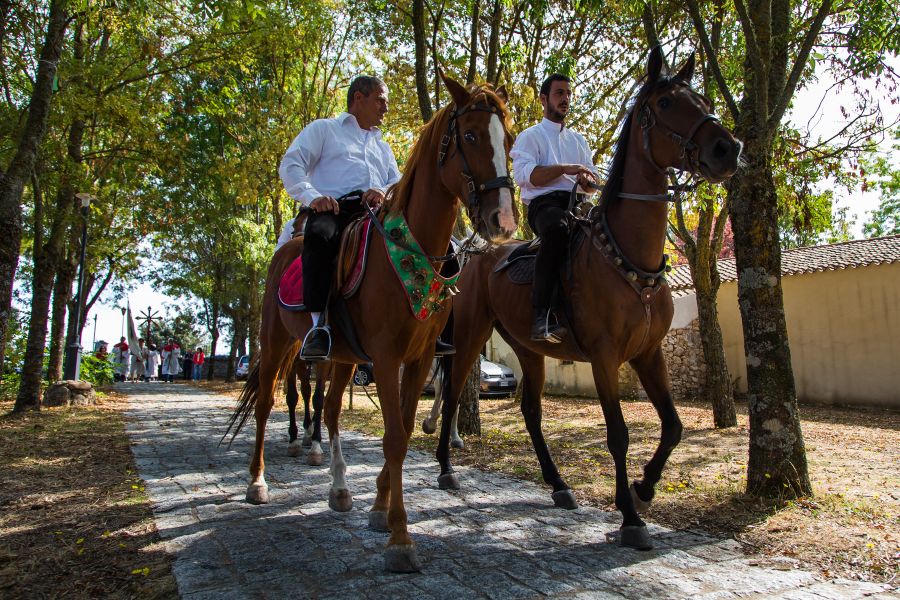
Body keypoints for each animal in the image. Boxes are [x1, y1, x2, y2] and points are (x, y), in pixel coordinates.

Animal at [225, 75, 516, 572]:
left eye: (510, 140)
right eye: (471, 136)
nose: (503, 220)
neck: (408, 254)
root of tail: (289, 247)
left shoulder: (418, 359)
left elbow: (402, 428)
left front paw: (379, 508)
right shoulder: (384, 357)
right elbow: (394, 438)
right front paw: (399, 538)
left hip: (342, 357)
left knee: (329, 410)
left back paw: (340, 489)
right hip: (278, 342)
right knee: (266, 406)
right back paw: (257, 482)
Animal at [434, 48, 740, 552]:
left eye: (703, 100)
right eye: (668, 102)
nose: (727, 149)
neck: (628, 257)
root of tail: (476, 252)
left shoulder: (649, 353)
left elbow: (673, 426)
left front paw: (644, 487)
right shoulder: (604, 356)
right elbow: (618, 434)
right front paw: (630, 517)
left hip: (528, 349)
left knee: (531, 412)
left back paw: (558, 484)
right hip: (471, 334)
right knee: (456, 391)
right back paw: (444, 467)